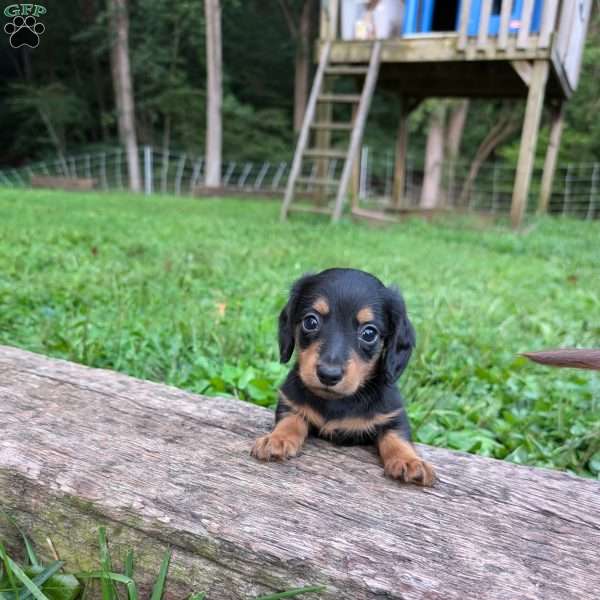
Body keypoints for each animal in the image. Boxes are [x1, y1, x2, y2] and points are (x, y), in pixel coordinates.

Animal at [250, 270, 436, 486]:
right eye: (310, 321)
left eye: (369, 333)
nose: (328, 375)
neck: (338, 402)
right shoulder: (291, 402)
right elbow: (289, 421)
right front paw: (276, 439)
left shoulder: (392, 415)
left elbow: (397, 437)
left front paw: (409, 461)